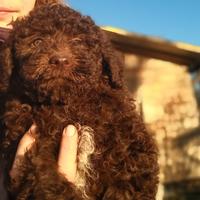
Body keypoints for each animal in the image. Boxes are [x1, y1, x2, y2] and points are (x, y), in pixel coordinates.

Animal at [0, 1, 159, 200]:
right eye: (37, 42)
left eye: (78, 41)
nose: (60, 60)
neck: (68, 103)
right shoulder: (32, 144)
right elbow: (46, 178)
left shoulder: (130, 141)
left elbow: (130, 179)